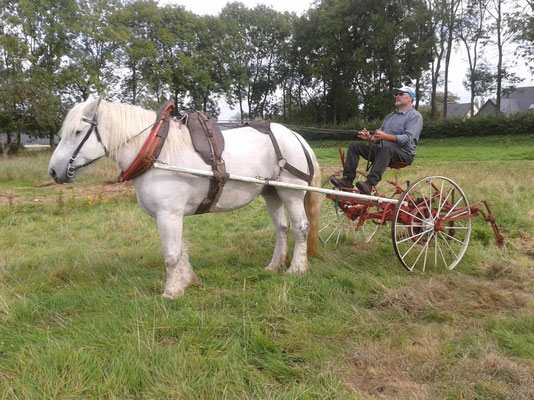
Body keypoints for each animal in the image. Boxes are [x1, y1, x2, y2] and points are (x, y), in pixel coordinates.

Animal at [49, 98, 322, 298]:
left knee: (301, 227)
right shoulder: (168, 215)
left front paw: (171, 291)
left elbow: (170, 254)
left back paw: (297, 268)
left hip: (291, 192)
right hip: (271, 192)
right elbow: (179, 249)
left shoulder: (168, 214)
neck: (156, 152)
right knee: (282, 227)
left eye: (78, 132)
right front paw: (187, 280)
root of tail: (296, 137)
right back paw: (275, 265)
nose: (53, 171)